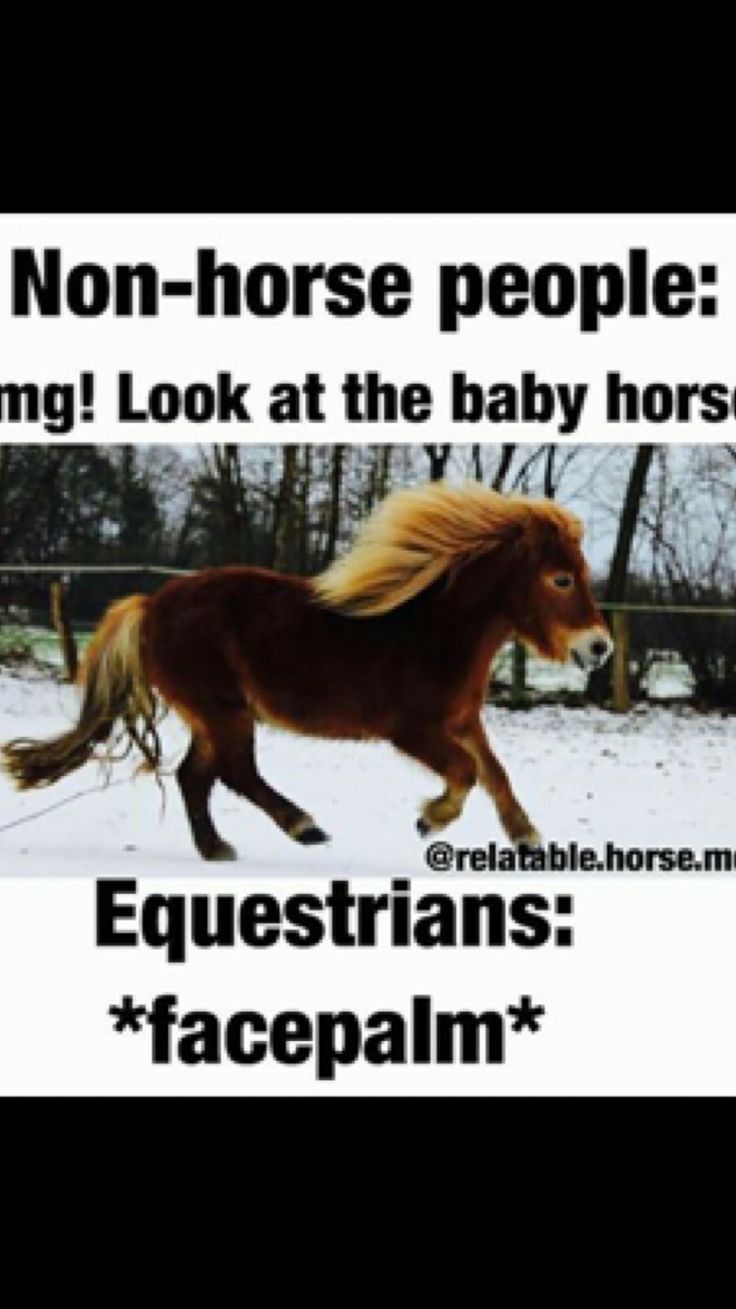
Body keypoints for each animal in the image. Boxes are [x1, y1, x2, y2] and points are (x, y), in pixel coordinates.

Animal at [1, 480, 612, 861]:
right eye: (561, 579)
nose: (600, 647)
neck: (436, 629)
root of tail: (151, 605)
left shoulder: (462, 720)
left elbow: (495, 772)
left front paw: (527, 836)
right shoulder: (412, 729)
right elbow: (464, 772)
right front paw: (430, 819)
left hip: (214, 715)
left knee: (196, 777)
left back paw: (217, 849)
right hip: (223, 710)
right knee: (234, 773)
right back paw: (304, 827)